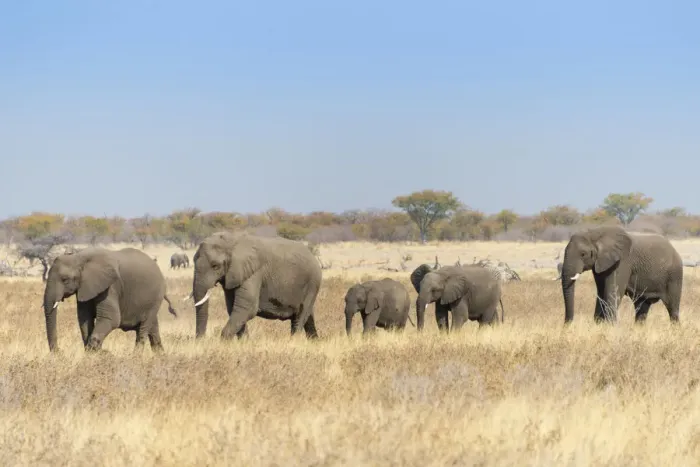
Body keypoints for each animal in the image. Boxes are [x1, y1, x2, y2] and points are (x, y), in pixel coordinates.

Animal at [42, 247, 178, 353]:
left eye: (65, 280)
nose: (59, 351)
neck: (79, 257)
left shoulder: (111, 286)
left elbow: (111, 319)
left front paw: (99, 353)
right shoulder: (86, 287)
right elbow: (84, 319)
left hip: (155, 298)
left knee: (143, 329)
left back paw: (135, 358)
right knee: (153, 329)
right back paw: (160, 356)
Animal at [190, 231, 322, 340]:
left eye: (215, 266)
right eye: (193, 261)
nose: (200, 340)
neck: (232, 241)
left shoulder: (253, 273)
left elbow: (247, 308)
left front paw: (225, 342)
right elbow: (233, 308)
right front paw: (244, 342)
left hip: (312, 283)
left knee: (300, 315)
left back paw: (293, 342)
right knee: (308, 315)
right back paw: (314, 341)